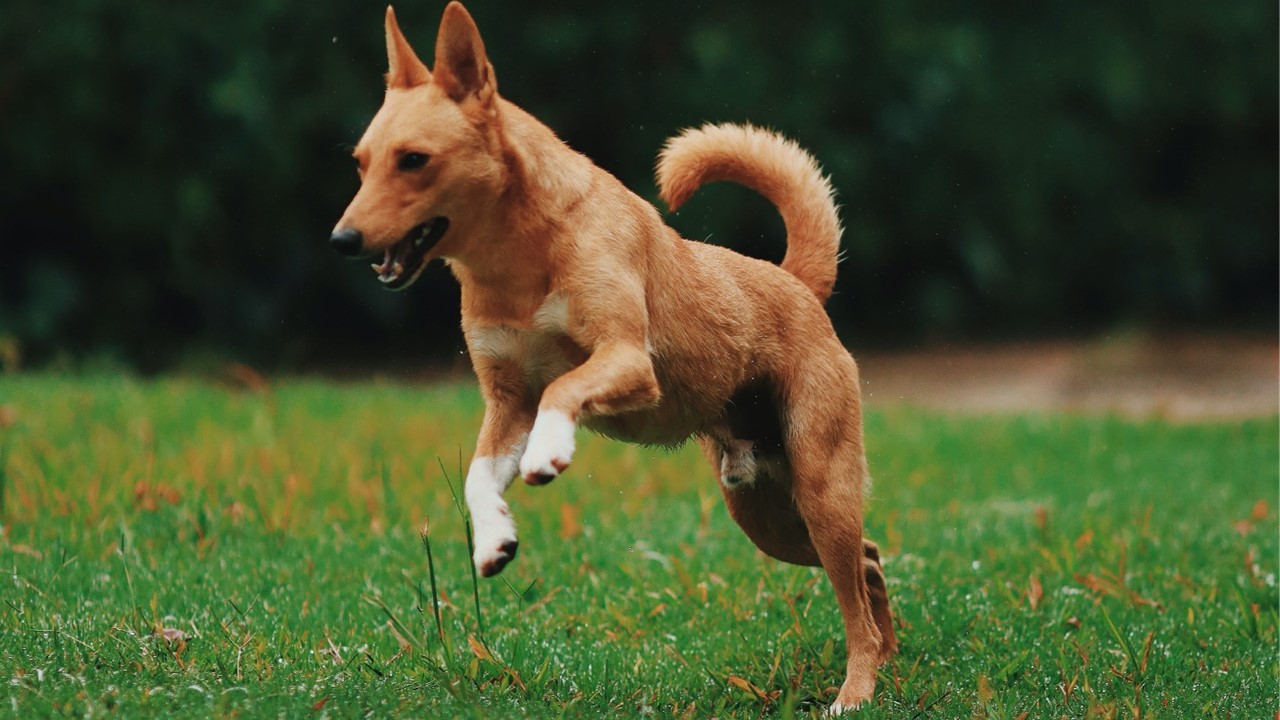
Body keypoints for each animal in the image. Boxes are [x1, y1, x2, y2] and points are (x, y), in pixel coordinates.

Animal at [335, 2, 901, 707]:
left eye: (414, 160)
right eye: (361, 163)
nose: (342, 240)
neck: (518, 262)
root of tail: (794, 281)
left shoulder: (628, 360)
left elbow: (563, 389)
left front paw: (550, 452)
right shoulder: (505, 403)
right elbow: (477, 474)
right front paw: (494, 539)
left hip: (821, 489)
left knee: (855, 596)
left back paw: (855, 693)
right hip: (765, 515)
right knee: (869, 566)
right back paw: (891, 664)